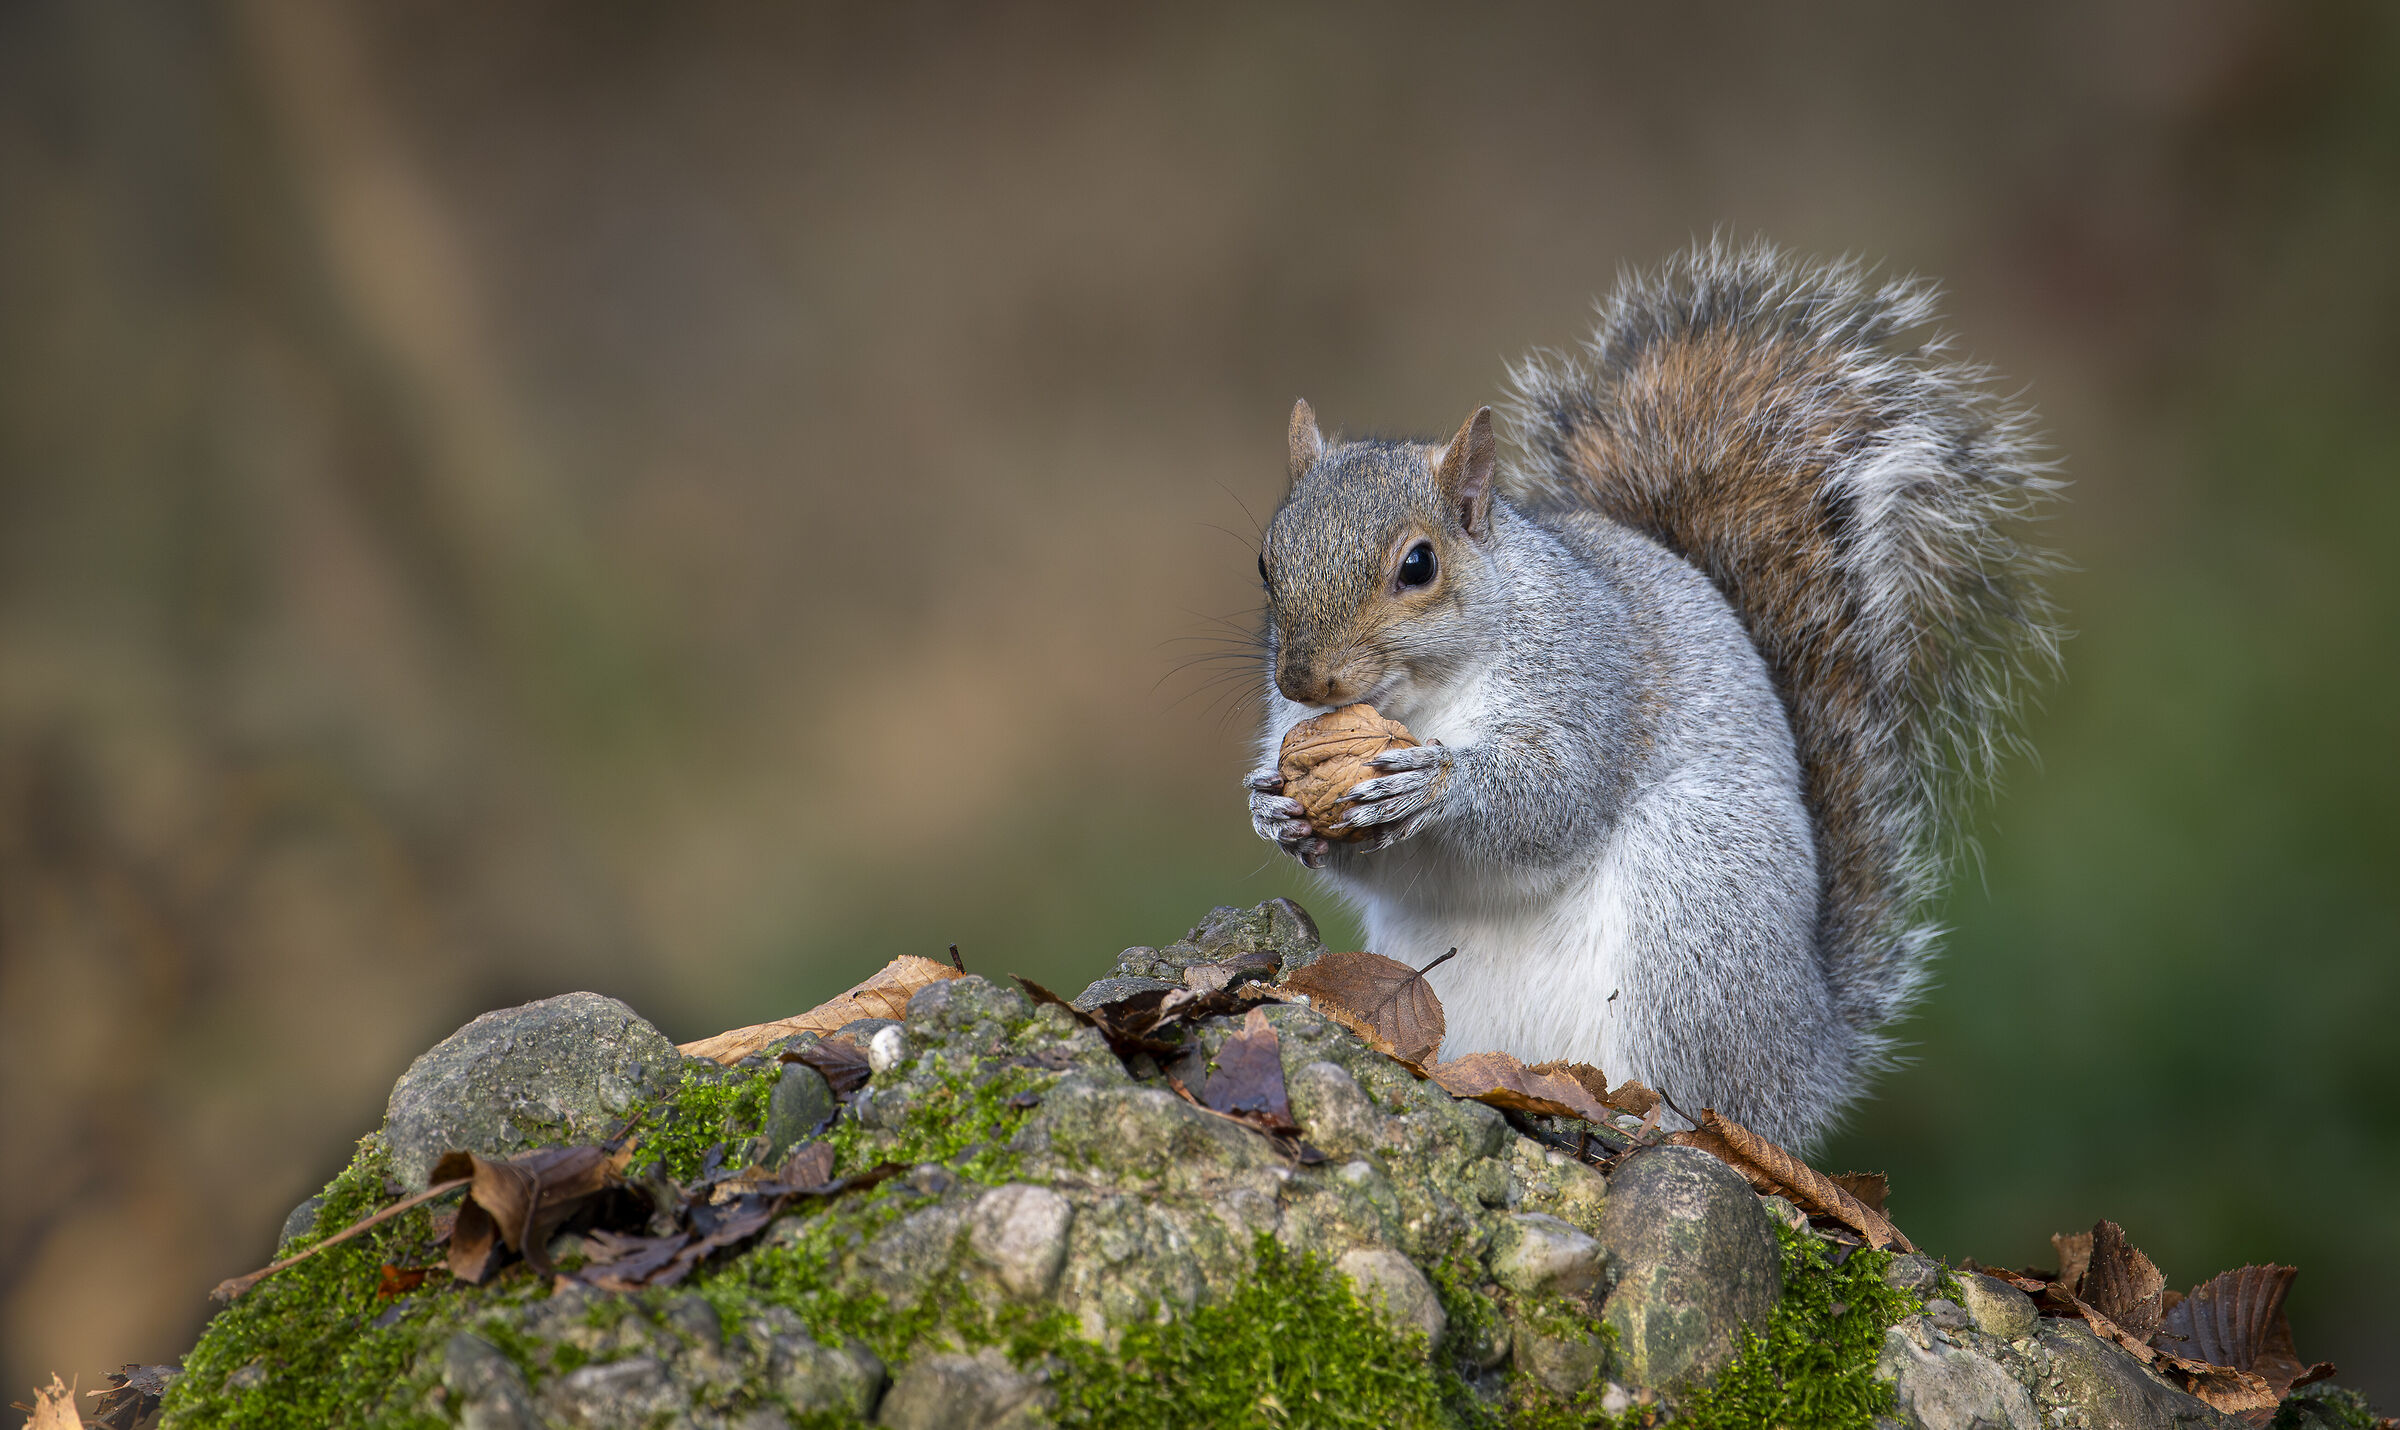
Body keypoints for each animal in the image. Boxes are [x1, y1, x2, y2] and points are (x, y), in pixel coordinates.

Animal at [1245, 240, 2059, 1148]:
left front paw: (1430, 783)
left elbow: (1552, 799)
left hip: (1694, 911)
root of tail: (1808, 1058)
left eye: (1418, 565)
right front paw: (1274, 809)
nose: (1301, 679)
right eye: (1266, 563)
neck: (1421, 701)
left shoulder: (1591, 675)